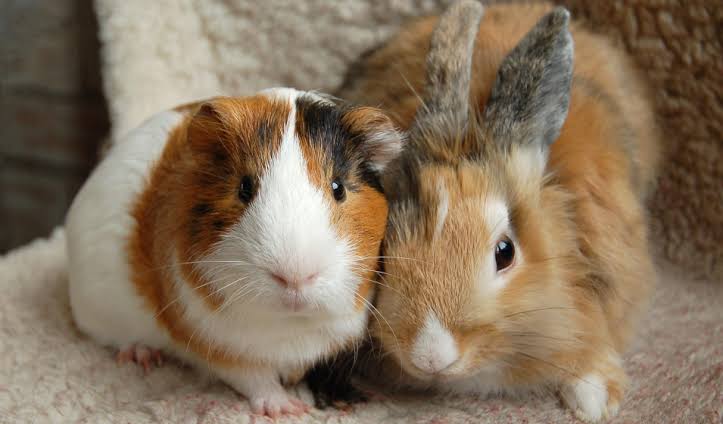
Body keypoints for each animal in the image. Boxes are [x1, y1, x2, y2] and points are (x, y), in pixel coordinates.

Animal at [65, 88, 403, 418]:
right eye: (244, 188)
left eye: (338, 188)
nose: (295, 277)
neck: (291, 324)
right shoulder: (220, 345)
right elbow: (256, 379)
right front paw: (287, 409)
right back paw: (142, 355)